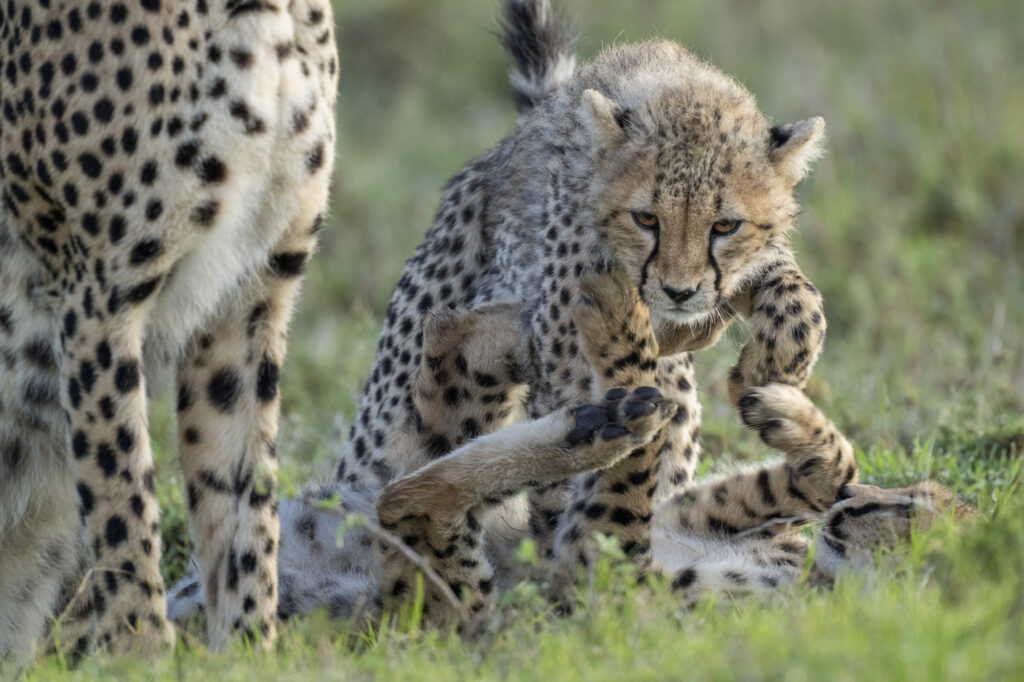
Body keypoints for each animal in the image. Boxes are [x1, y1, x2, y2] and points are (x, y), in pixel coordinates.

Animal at [0, 0, 338, 662]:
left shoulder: (248, 298)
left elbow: (245, 510)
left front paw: (249, 655)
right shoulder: (97, 298)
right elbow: (123, 504)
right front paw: (142, 659)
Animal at [168, 265, 975, 628]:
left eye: (915, 522)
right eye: (911, 497)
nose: (854, 513)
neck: (817, 574)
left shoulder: (600, 580)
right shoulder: (689, 515)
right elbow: (812, 471)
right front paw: (785, 410)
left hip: (452, 606)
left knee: (414, 500)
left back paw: (604, 416)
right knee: (439, 359)